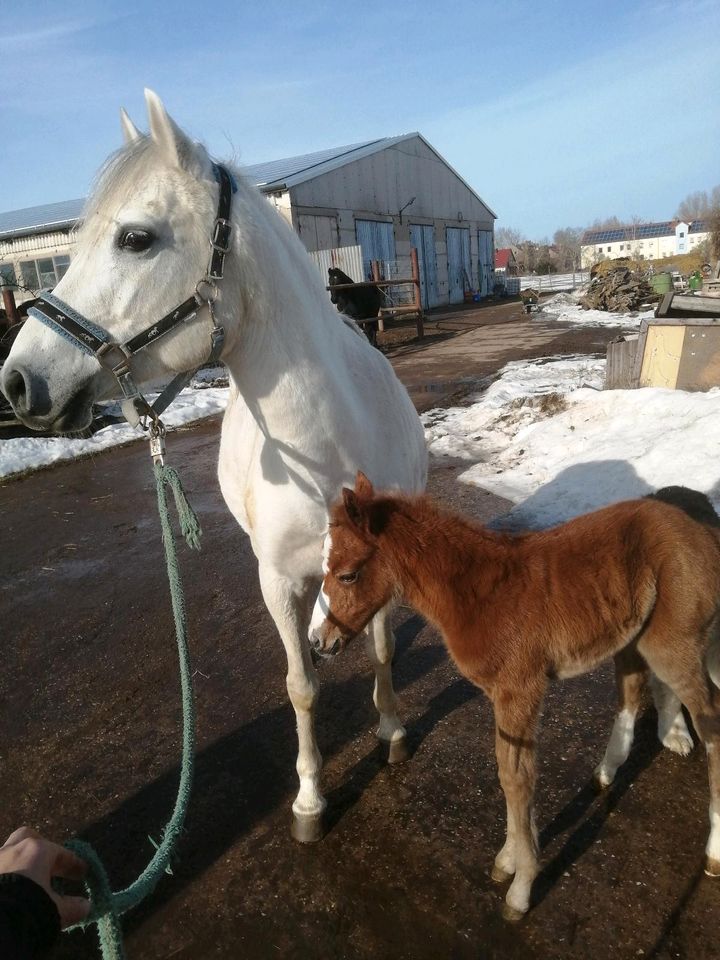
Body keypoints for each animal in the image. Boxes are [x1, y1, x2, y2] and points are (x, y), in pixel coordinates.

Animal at [1, 90, 428, 840]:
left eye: (135, 239)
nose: (19, 383)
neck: (326, 452)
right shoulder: (278, 581)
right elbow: (301, 686)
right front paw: (310, 799)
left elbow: (379, 648)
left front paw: (393, 732)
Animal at [310, 474, 720, 924]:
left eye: (347, 575)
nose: (318, 642)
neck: (480, 595)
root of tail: (700, 528)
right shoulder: (504, 697)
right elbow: (507, 769)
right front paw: (508, 860)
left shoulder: (520, 690)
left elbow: (517, 779)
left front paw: (521, 887)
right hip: (637, 638)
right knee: (635, 693)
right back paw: (610, 771)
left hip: (674, 644)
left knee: (712, 724)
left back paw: (714, 850)